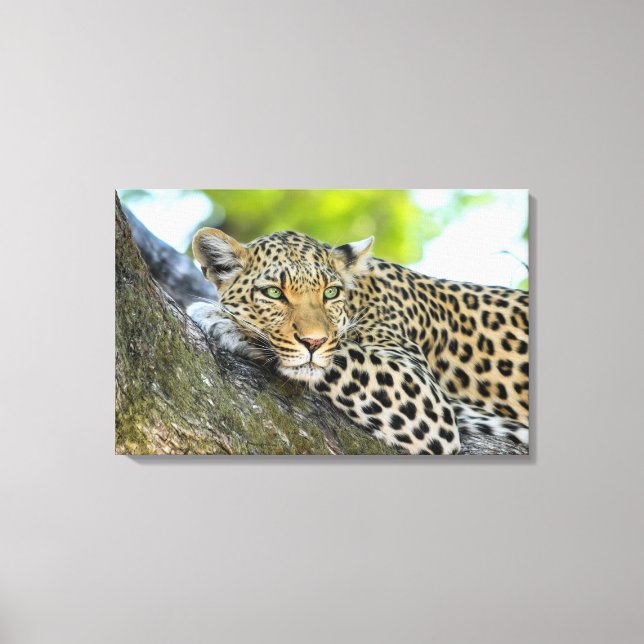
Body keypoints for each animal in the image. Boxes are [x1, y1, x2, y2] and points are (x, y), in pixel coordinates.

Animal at [187, 228, 529, 455]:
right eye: (273, 293)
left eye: (330, 293)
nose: (313, 342)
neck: (361, 296)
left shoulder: (425, 399)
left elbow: (342, 353)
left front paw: (223, 320)